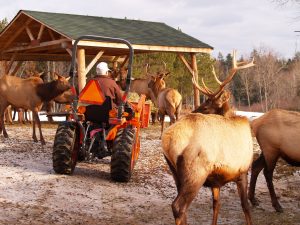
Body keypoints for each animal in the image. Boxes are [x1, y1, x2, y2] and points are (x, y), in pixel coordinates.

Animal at [162, 51, 255, 225]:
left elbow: (216, 204)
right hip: (196, 171)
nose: (192, 110)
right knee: (178, 206)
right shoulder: (243, 171)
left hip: (176, 173)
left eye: (206, 107)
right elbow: (245, 206)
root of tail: (167, 140)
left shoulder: (216, 180)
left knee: (183, 209)